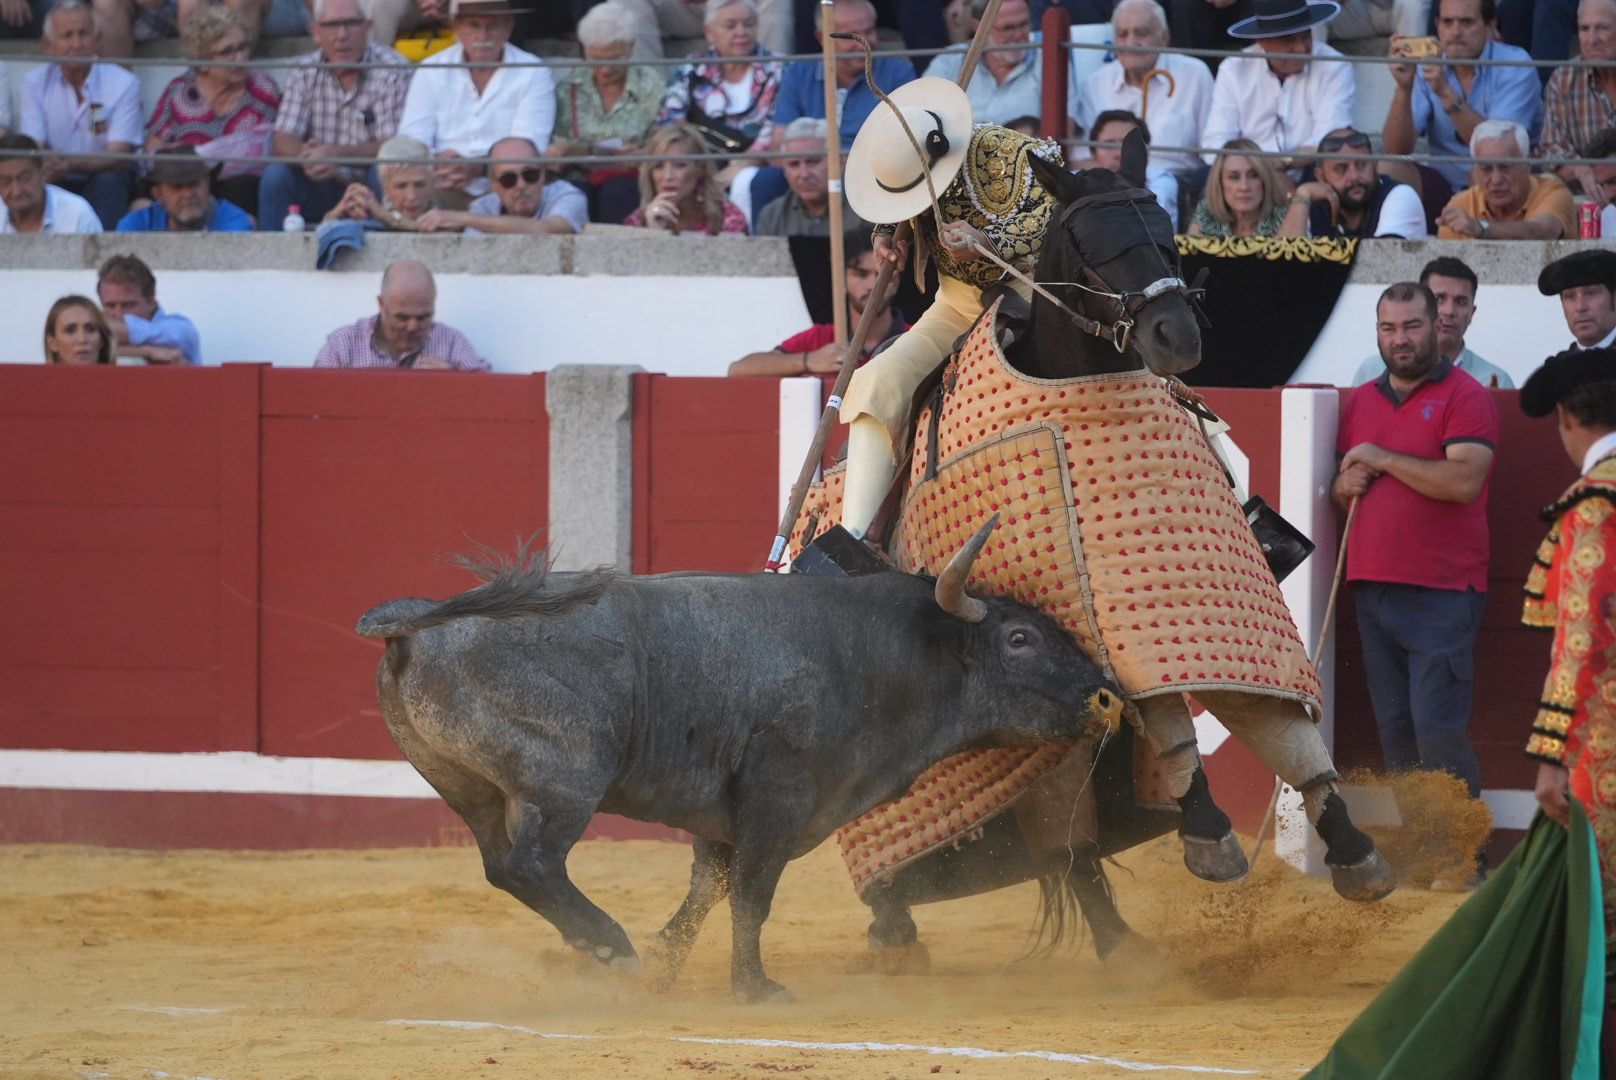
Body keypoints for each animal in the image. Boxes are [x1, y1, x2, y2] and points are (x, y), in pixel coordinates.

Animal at [360, 523, 1131, 1002]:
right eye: (1020, 637)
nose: (1107, 695)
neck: (877, 653)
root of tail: (420, 619)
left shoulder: (724, 815)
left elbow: (710, 888)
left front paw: (666, 970)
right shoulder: (777, 799)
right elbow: (753, 896)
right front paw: (754, 989)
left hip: (469, 789)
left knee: (501, 865)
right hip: (564, 783)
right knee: (532, 863)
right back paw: (610, 947)